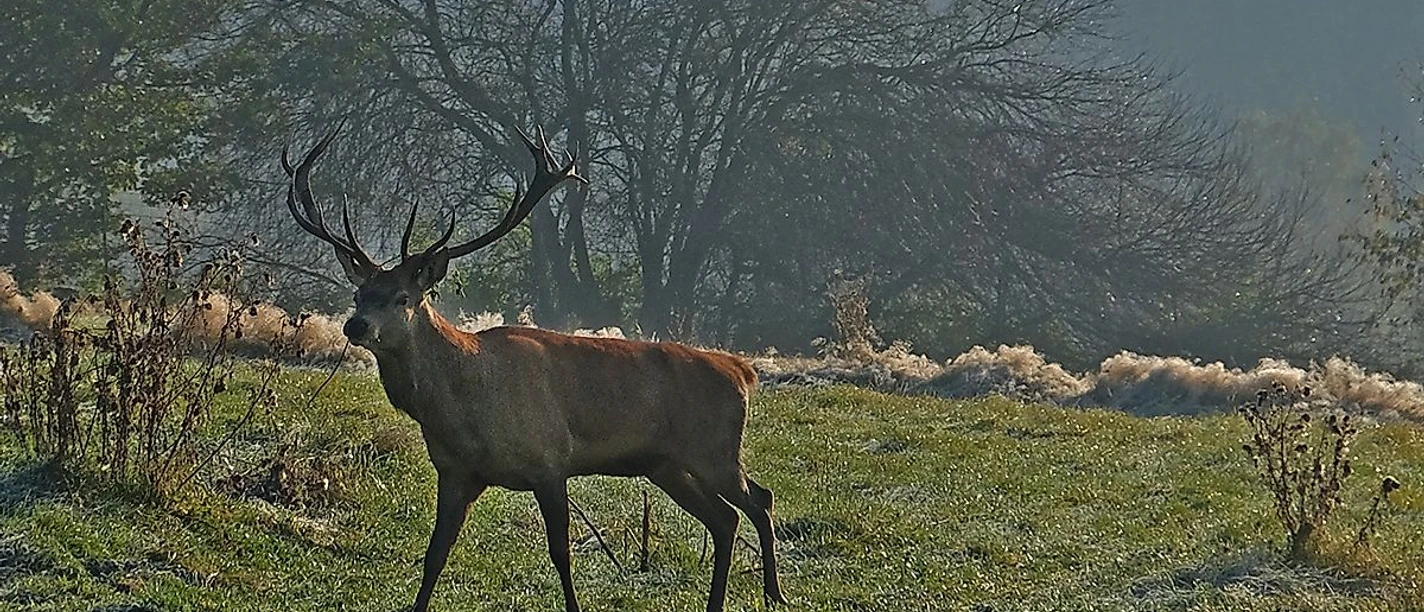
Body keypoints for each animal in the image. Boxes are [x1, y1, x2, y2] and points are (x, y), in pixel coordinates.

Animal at [278, 123, 787, 612]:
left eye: (402, 297)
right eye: (359, 294)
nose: (355, 325)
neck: (463, 408)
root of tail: (743, 371)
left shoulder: (550, 462)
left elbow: (560, 553)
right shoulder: (455, 472)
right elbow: (435, 554)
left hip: (714, 451)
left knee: (757, 499)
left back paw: (774, 594)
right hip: (666, 465)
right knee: (726, 519)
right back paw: (726, 600)